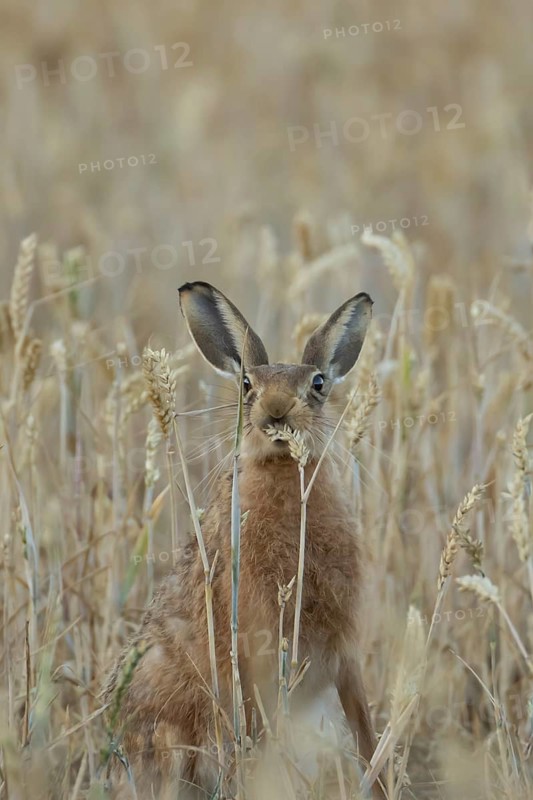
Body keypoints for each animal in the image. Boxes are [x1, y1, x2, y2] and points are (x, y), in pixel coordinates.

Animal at [104, 281, 384, 799]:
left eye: (318, 383)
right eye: (248, 385)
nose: (275, 411)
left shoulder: (344, 653)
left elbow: (365, 734)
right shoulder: (254, 652)